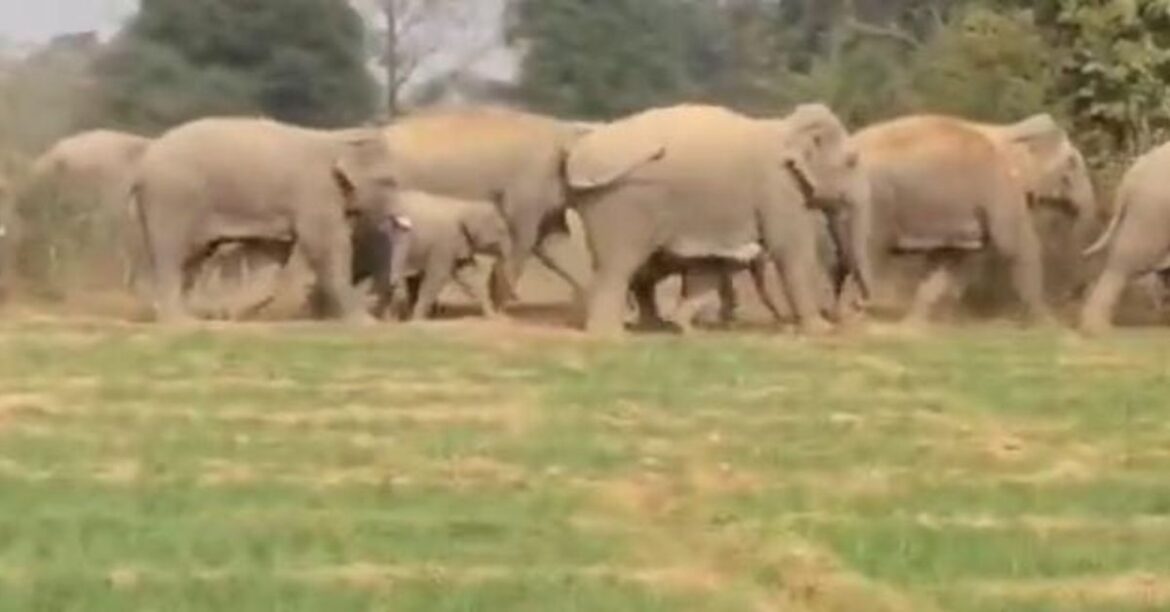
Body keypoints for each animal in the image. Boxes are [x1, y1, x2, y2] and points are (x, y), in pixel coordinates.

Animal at [131, 117, 401, 323]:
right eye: (388, 181)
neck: (338, 137)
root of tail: (143, 163)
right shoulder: (315, 193)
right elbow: (327, 245)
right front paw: (365, 322)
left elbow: (271, 255)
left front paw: (232, 312)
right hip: (172, 198)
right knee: (173, 253)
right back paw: (179, 321)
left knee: (194, 257)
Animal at [354, 191, 513, 321]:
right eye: (502, 230)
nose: (500, 314)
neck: (466, 205)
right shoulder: (444, 244)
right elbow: (437, 277)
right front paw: (416, 320)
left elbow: (467, 275)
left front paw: (491, 316)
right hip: (378, 243)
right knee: (383, 279)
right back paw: (384, 319)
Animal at [563, 103, 872, 336]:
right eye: (852, 161)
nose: (856, 307)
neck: (786, 127)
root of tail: (578, 157)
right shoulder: (778, 188)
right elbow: (791, 250)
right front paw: (821, 330)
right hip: (624, 204)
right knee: (619, 266)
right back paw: (609, 335)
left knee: (638, 270)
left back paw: (654, 327)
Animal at [850, 113, 1096, 324]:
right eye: (1072, 165)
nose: (1072, 296)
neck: (1010, 130)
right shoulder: (1001, 187)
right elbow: (1017, 246)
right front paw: (1048, 326)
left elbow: (952, 257)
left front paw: (915, 326)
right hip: (872, 203)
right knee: (867, 252)